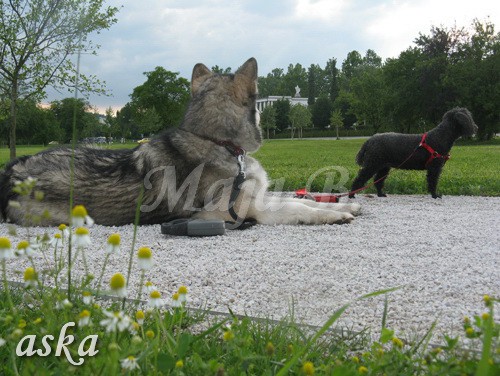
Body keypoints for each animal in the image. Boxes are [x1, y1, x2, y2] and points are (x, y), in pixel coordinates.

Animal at [0, 57, 360, 225]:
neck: (216, 142)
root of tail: (11, 169)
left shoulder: (257, 196)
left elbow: (304, 200)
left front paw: (344, 204)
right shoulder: (245, 211)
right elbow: (297, 207)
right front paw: (333, 215)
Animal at [350, 107, 478, 198]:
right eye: (469, 118)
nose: (476, 128)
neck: (441, 136)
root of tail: (370, 140)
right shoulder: (434, 167)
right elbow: (433, 182)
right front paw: (435, 195)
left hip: (383, 167)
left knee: (378, 181)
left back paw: (381, 194)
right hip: (372, 164)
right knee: (359, 179)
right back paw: (351, 195)